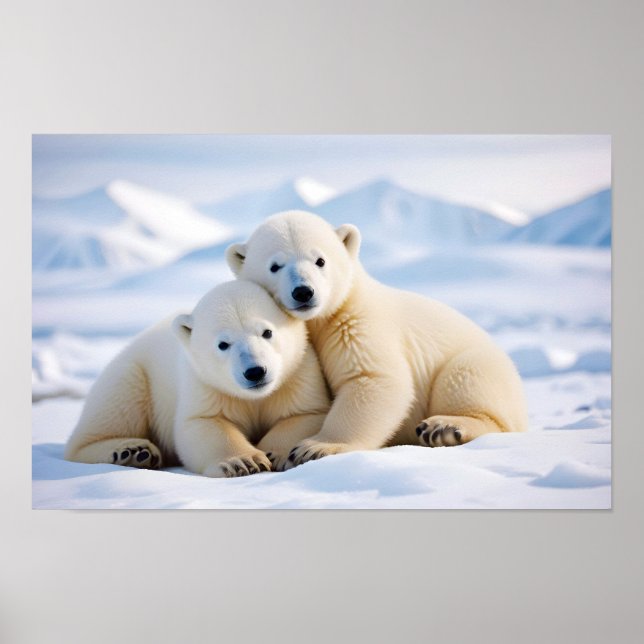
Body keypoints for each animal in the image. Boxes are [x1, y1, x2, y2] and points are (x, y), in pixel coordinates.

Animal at [64, 280, 331, 477]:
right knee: (112, 410)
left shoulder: (297, 373)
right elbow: (203, 423)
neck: (255, 396)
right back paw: (132, 450)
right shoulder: (203, 383)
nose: (255, 371)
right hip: (132, 373)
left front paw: (276, 453)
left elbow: (305, 413)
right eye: (223, 344)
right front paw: (244, 462)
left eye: (267, 332)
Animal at [226, 210, 528, 466]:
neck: (320, 320)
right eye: (275, 266)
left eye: (320, 260)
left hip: (482, 367)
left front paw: (316, 447)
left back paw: (444, 427)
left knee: (466, 378)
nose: (303, 292)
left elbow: (372, 379)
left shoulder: (356, 324)